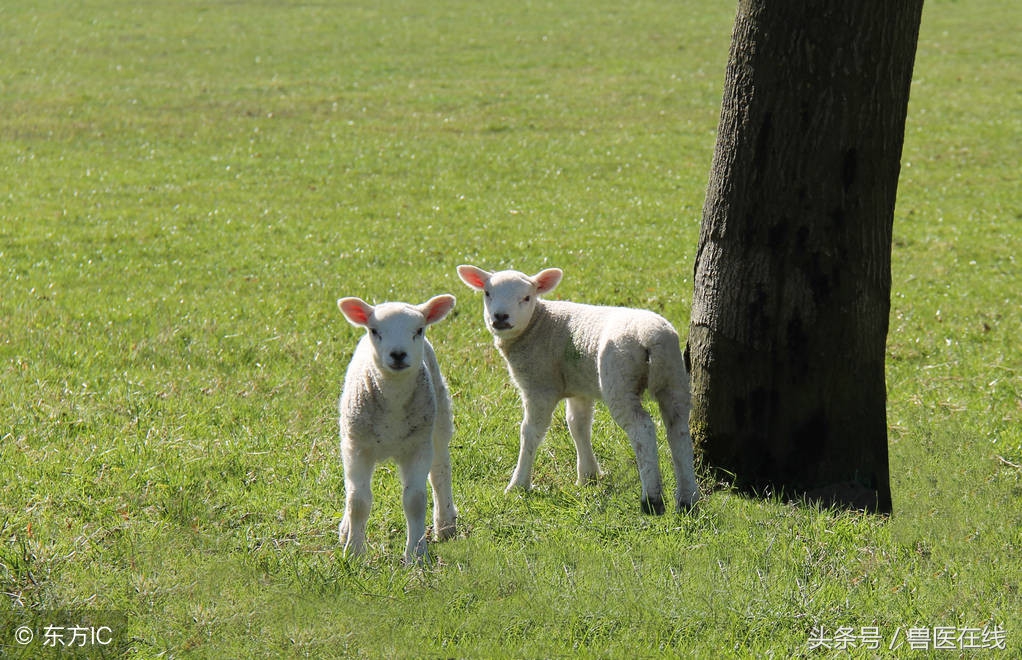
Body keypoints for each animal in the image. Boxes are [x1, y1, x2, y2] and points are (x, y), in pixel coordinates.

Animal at [337, 294, 457, 563]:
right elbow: (358, 500)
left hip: (439, 419)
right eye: (374, 330)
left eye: (419, 330)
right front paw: (354, 552)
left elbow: (415, 500)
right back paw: (346, 529)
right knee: (351, 489)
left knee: (440, 472)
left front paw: (417, 554)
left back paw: (445, 524)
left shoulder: (417, 447)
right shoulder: (357, 447)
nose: (398, 354)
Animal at [457, 265, 703, 514]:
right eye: (487, 293)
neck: (538, 324)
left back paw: (652, 500)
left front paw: (518, 484)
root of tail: (653, 338)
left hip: (620, 378)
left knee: (642, 429)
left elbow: (531, 432)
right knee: (678, 430)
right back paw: (688, 498)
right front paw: (588, 476)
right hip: (674, 378)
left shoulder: (539, 386)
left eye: (526, 297)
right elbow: (578, 425)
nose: (500, 317)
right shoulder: (579, 388)